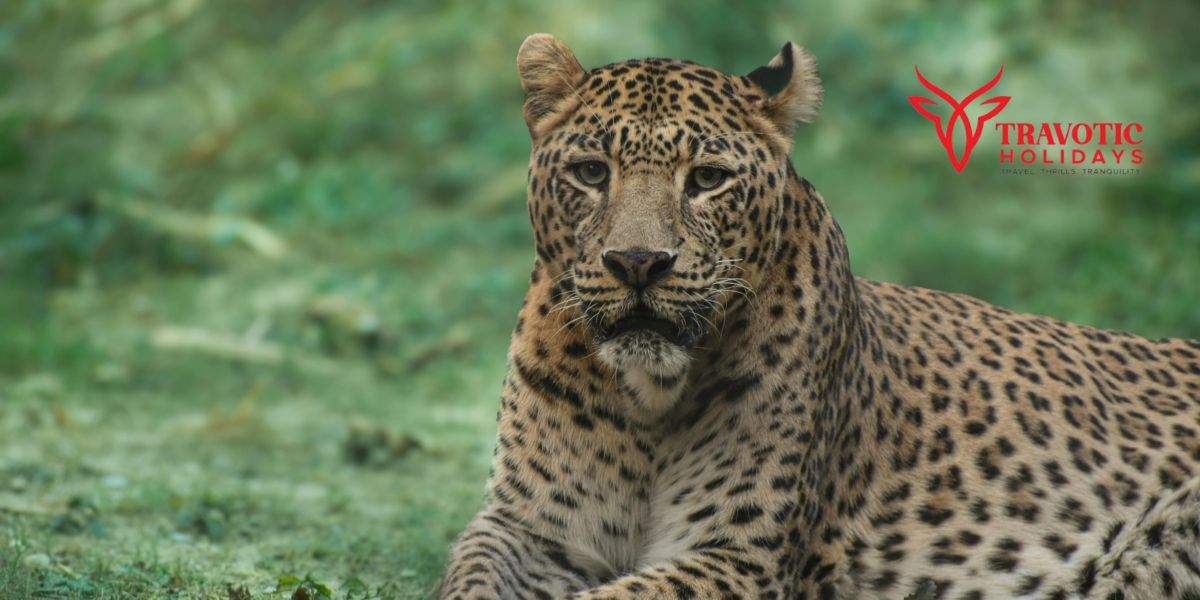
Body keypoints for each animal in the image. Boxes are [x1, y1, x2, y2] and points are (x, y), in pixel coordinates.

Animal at [438, 33, 1200, 599]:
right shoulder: (528, 527)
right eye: (592, 172)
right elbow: (468, 574)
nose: (638, 263)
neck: (649, 400)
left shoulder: (742, 554)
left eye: (707, 179)